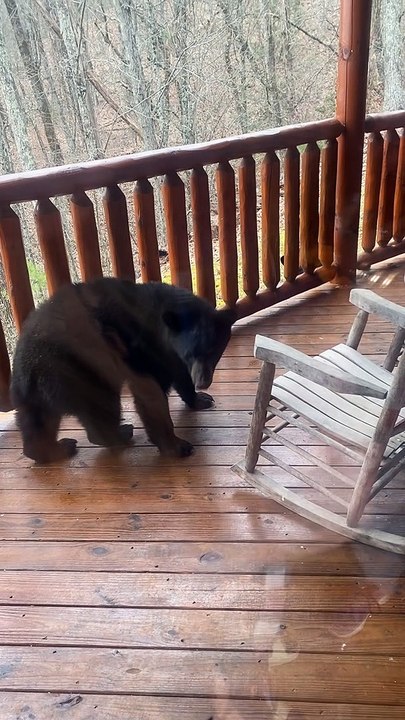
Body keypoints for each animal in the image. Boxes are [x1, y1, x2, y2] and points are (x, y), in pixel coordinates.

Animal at [11, 278, 236, 464]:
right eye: (191, 353)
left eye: (213, 351)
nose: (203, 381)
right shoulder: (141, 350)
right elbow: (151, 393)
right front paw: (176, 446)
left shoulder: (170, 353)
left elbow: (179, 374)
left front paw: (199, 398)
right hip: (78, 369)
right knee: (101, 405)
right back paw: (119, 433)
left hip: (34, 392)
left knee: (36, 421)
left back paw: (53, 449)